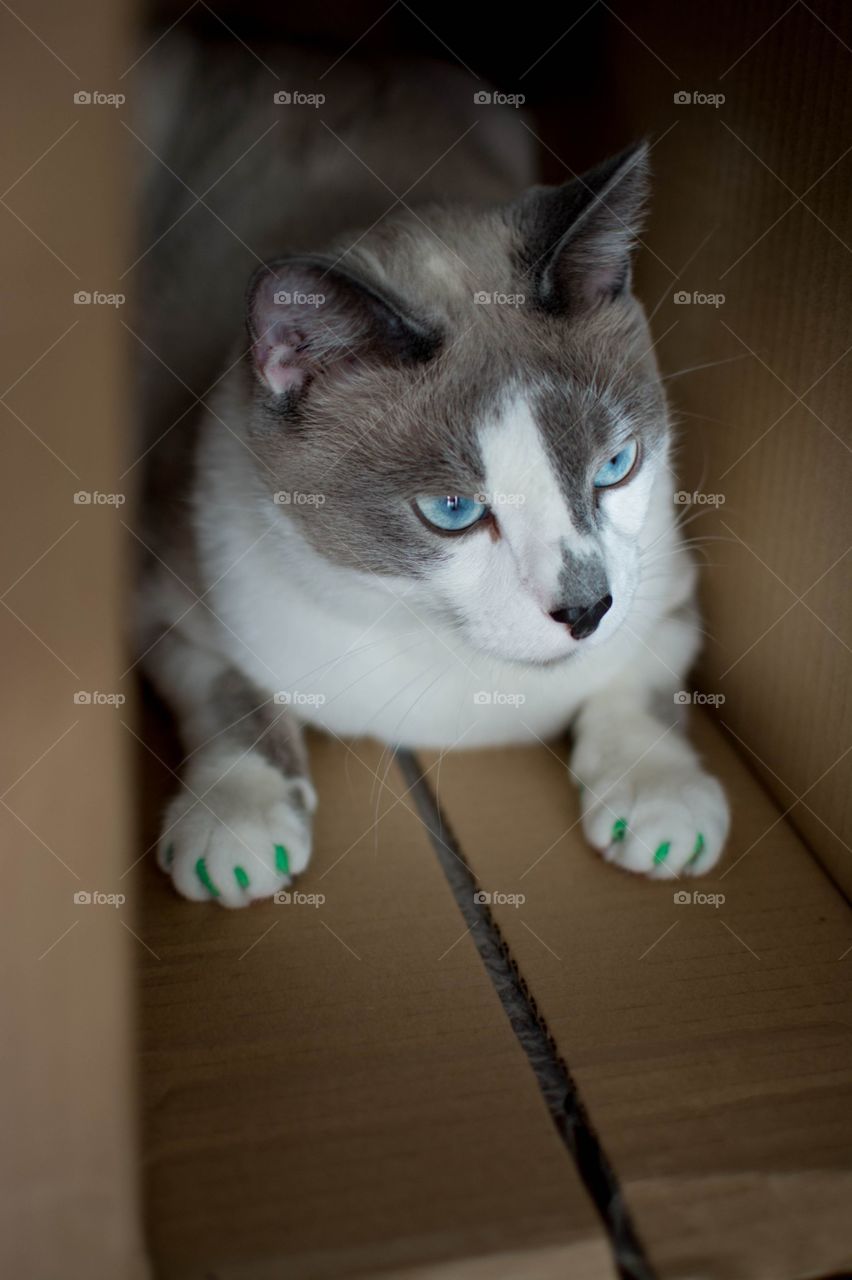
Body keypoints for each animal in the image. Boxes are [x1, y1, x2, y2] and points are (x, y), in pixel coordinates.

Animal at [136, 37, 726, 901]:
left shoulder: (667, 586)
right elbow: (227, 694)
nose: (586, 610)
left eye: (616, 465)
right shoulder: (163, 602)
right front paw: (236, 822)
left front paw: (661, 797)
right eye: (452, 510)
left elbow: (644, 678)